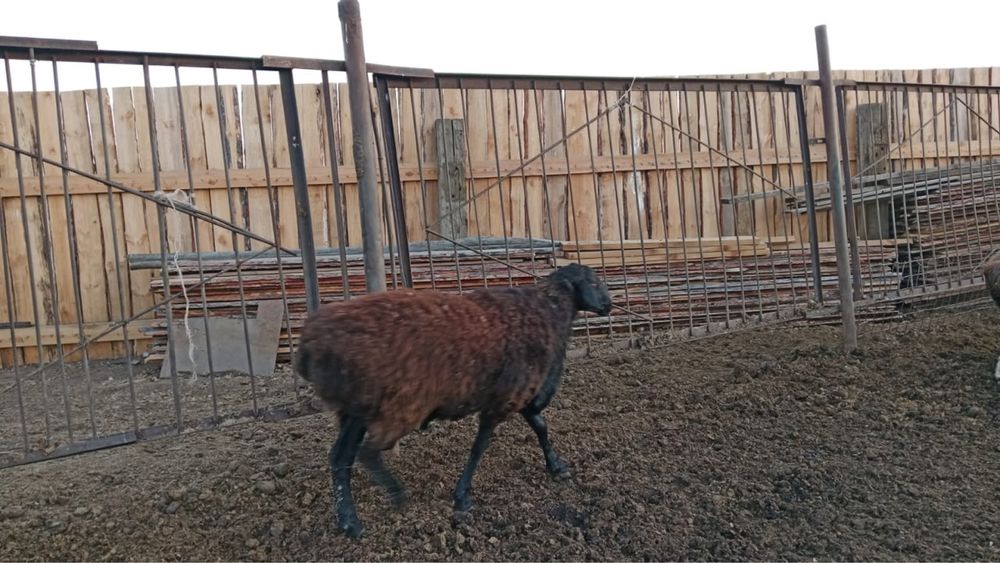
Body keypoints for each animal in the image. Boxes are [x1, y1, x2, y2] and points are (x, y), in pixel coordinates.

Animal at [294, 263, 612, 538]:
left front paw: (557, 466)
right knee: (366, 454)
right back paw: (396, 495)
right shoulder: (505, 399)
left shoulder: (518, 395)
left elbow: (540, 427)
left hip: (357, 409)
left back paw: (349, 522)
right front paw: (462, 497)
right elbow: (479, 447)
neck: (549, 312)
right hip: (398, 406)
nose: (608, 305)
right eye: (594, 282)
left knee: (341, 457)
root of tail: (310, 343)